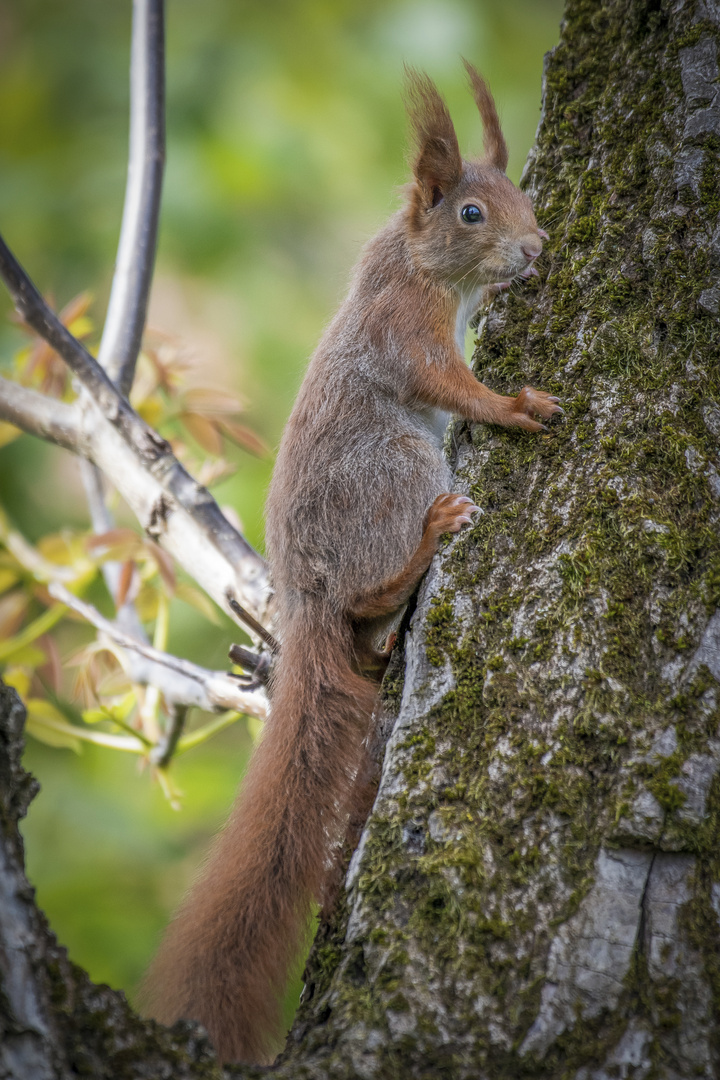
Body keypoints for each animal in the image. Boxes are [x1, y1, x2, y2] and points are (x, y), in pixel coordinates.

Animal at [143, 63, 561, 1067]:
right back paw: (423, 547)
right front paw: (515, 404)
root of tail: (307, 603)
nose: (536, 248)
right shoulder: (406, 331)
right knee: (383, 567)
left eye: (521, 196)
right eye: (472, 214)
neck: (415, 263)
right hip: (397, 469)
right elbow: (451, 386)